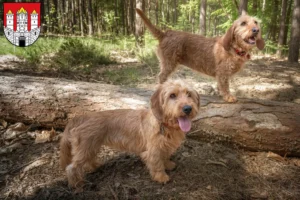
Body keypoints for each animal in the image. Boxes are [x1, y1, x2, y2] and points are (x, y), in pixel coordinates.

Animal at [59, 79, 200, 191]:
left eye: (189, 94)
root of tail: (82, 117)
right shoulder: (152, 151)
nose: (188, 108)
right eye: (172, 95)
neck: (165, 125)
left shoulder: (164, 147)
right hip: (85, 148)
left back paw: (95, 166)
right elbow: (157, 164)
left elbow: (164, 157)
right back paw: (77, 184)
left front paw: (168, 164)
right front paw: (161, 176)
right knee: (71, 168)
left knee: (88, 159)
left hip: (91, 146)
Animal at [136, 8, 264, 102]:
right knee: (161, 77)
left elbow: (220, 86)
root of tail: (165, 34)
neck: (234, 48)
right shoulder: (222, 73)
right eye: (243, 23)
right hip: (169, 63)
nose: (256, 30)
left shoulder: (221, 75)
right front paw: (228, 96)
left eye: (256, 22)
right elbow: (225, 86)